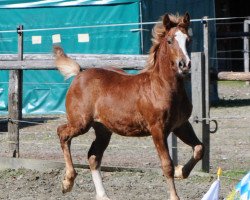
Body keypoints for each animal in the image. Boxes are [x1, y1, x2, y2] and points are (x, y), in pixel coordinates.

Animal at [53, 12, 203, 200]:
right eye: (169, 40)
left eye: (188, 40)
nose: (185, 65)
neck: (162, 86)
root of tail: (79, 75)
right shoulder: (158, 130)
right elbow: (167, 165)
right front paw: (175, 192)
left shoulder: (181, 125)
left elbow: (199, 148)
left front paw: (182, 171)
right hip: (81, 123)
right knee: (62, 133)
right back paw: (68, 182)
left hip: (103, 129)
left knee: (93, 156)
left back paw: (102, 195)